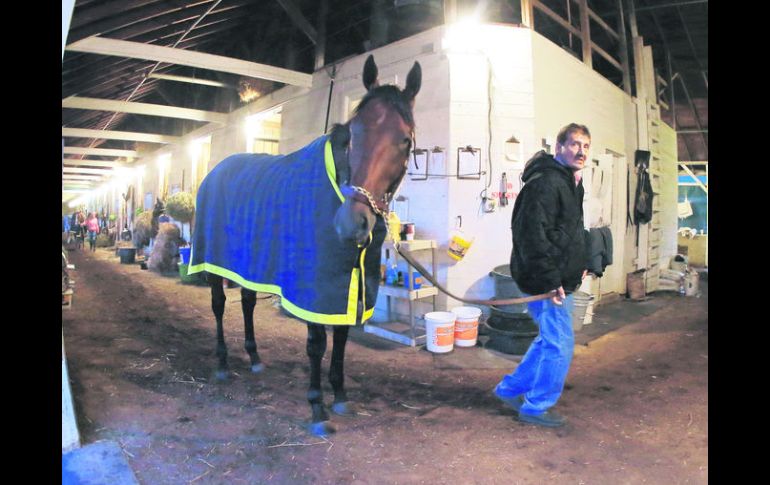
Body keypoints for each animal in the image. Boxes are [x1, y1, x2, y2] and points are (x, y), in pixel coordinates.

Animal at [190, 54, 424, 436]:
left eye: (404, 139)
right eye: (352, 136)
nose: (351, 224)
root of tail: (215, 172)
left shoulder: (349, 283)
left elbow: (341, 339)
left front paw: (340, 396)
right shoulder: (315, 287)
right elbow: (317, 344)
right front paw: (317, 408)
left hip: (249, 263)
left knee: (248, 303)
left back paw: (254, 357)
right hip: (212, 263)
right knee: (219, 305)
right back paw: (223, 363)